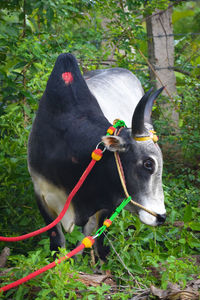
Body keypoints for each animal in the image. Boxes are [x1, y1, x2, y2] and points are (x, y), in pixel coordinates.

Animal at [27, 52, 166, 258]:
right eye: (148, 164)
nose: (161, 216)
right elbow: (58, 241)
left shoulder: (107, 201)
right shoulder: (41, 194)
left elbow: (92, 240)